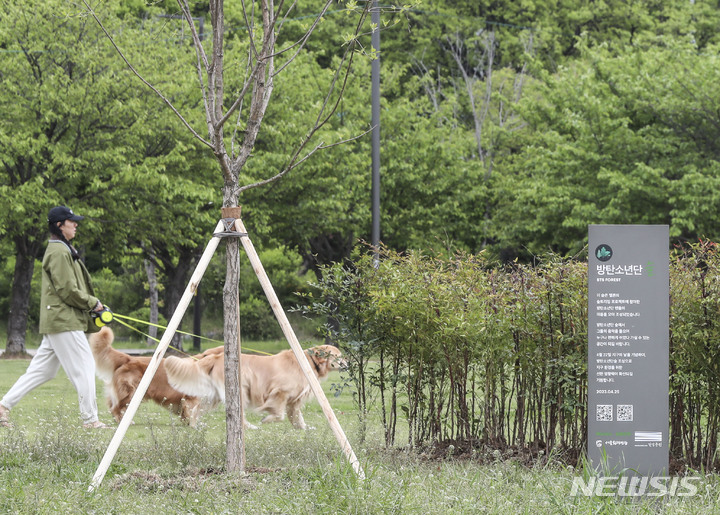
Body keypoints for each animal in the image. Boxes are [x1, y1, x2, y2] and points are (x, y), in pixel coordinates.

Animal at [89, 330, 222, 428]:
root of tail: (129, 358)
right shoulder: (191, 398)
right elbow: (192, 412)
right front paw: (193, 426)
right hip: (131, 392)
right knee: (115, 408)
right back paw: (122, 420)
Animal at [165, 346, 344, 432]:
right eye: (338, 356)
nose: (347, 362)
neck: (307, 361)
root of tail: (216, 356)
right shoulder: (280, 392)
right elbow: (278, 414)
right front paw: (266, 419)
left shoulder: (294, 401)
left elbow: (297, 418)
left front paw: (304, 428)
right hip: (240, 391)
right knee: (239, 415)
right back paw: (251, 427)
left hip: (213, 396)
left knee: (196, 408)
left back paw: (194, 426)